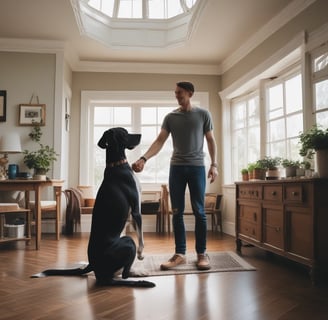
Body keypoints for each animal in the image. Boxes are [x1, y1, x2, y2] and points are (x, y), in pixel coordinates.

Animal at [33, 129, 155, 288]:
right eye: (125, 132)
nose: (140, 135)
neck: (116, 164)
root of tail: (92, 265)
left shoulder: (132, 215)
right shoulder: (135, 210)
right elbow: (141, 237)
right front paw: (141, 254)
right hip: (128, 241)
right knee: (122, 275)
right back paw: (141, 279)